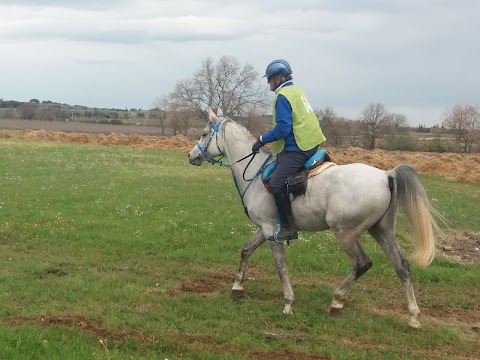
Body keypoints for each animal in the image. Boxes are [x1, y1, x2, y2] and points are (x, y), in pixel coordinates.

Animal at [187, 107, 438, 330]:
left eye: (204, 133)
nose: (191, 156)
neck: (256, 173)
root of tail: (386, 175)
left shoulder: (271, 231)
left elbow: (281, 267)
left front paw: (288, 303)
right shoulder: (264, 228)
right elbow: (246, 250)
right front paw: (237, 286)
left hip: (346, 233)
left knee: (362, 263)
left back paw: (336, 300)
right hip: (382, 231)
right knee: (402, 266)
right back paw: (413, 316)